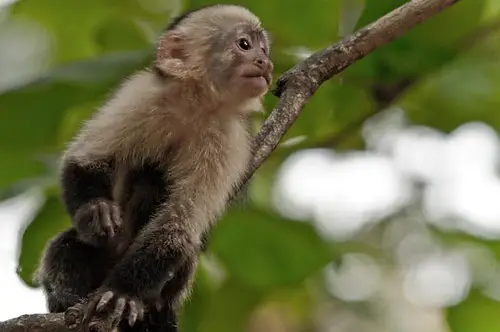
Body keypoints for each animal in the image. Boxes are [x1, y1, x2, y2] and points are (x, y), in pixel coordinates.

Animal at [35, 4, 274, 332]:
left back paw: (153, 306)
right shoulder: (144, 94)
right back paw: (67, 299)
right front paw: (95, 210)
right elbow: (84, 158)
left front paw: (123, 293)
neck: (197, 106)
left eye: (264, 48)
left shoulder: (228, 140)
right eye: (245, 44)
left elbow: (177, 226)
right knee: (66, 245)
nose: (266, 62)